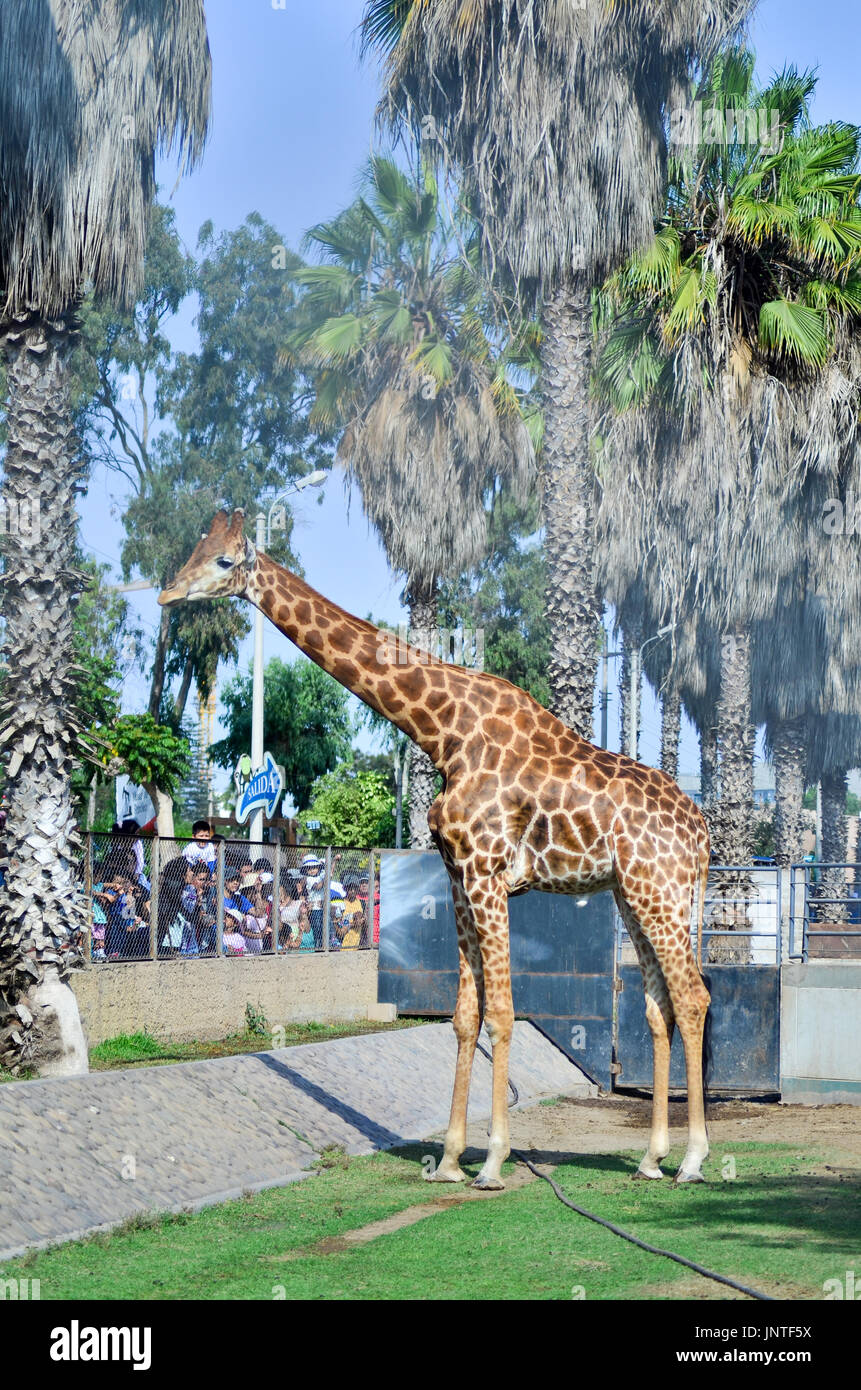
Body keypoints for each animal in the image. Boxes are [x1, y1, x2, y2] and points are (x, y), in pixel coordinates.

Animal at [161, 511, 712, 1184]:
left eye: (221, 561)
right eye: (196, 547)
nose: (166, 594)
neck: (441, 730)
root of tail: (701, 831)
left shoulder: (487, 873)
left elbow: (501, 1012)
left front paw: (493, 1160)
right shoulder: (457, 876)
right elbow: (463, 1017)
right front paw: (450, 1158)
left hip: (658, 890)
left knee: (694, 996)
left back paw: (693, 1158)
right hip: (637, 895)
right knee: (660, 1005)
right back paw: (651, 1158)